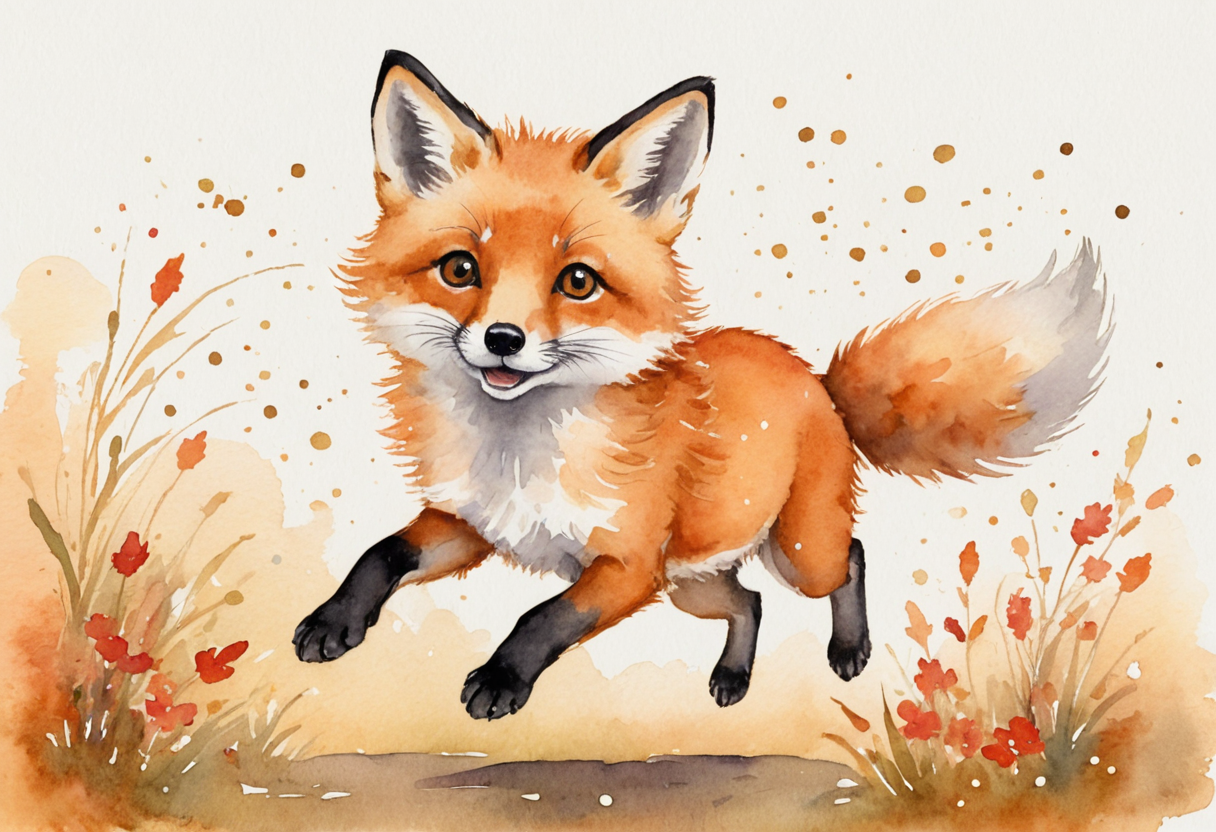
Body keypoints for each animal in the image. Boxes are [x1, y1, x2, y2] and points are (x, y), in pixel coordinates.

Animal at [293, 50, 1110, 720]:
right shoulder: (472, 525)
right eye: (460, 268)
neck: (518, 453)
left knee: (850, 557)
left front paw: (501, 677)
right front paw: (335, 620)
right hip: (692, 583)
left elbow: (542, 617)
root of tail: (815, 379)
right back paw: (733, 675)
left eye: (578, 281)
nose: (503, 339)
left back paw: (848, 648)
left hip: (794, 555)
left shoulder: (626, 567)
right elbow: (380, 554)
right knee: (748, 602)